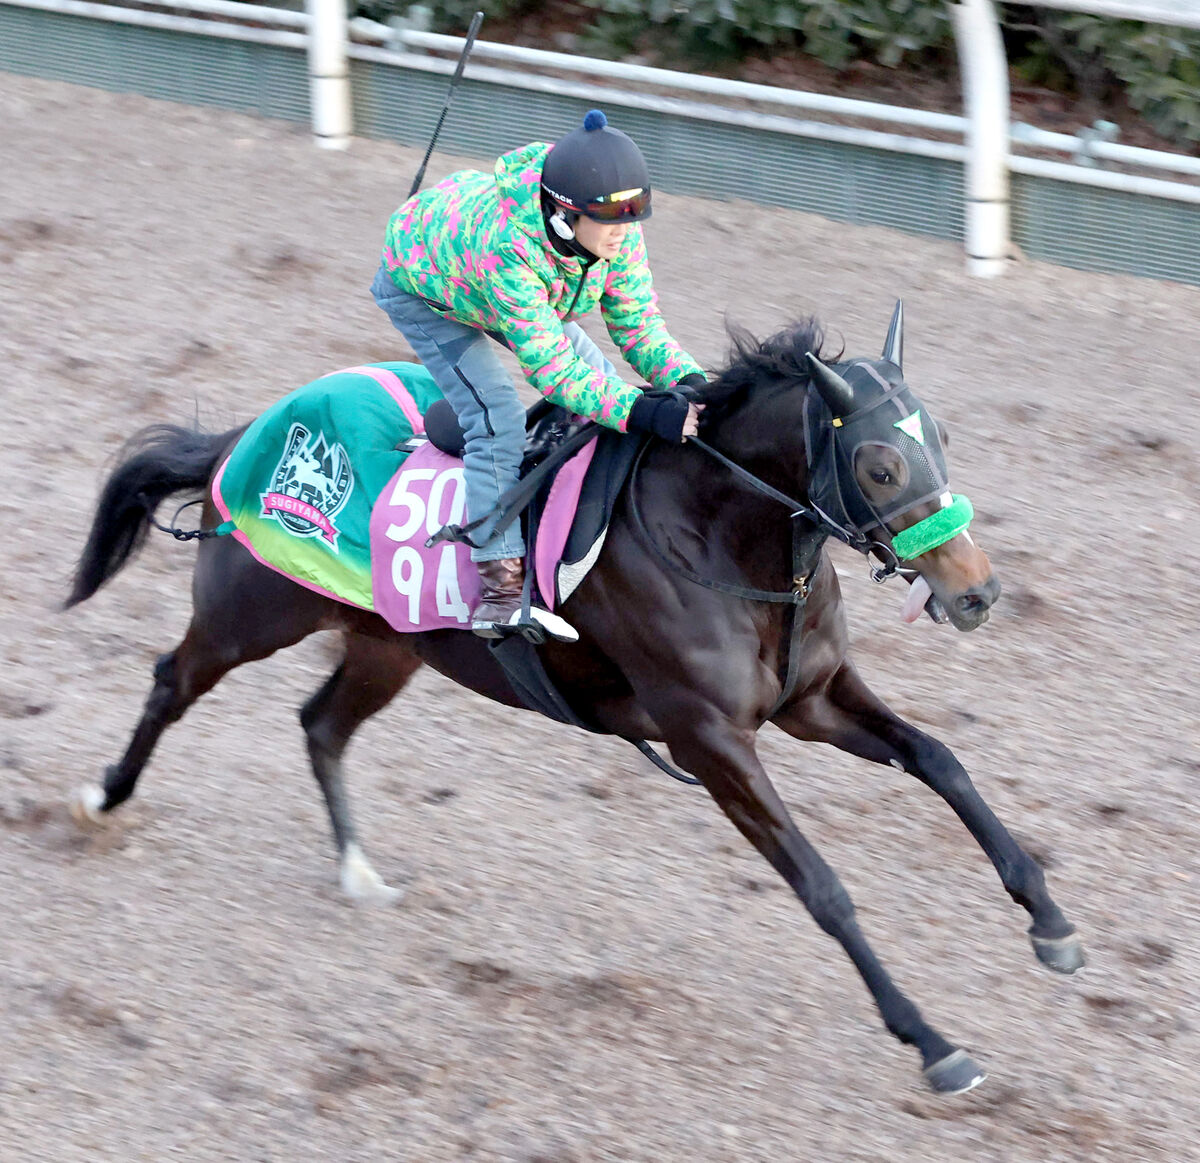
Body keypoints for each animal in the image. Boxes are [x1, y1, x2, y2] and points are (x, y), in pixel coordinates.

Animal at [63, 303, 1089, 1094]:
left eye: (942, 439)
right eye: (879, 463)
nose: (978, 592)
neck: (721, 538)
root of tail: (246, 435)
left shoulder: (815, 698)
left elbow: (941, 760)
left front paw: (1050, 921)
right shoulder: (710, 737)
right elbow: (822, 885)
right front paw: (933, 1041)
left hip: (388, 645)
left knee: (321, 725)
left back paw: (357, 869)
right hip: (251, 614)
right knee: (172, 680)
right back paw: (101, 797)